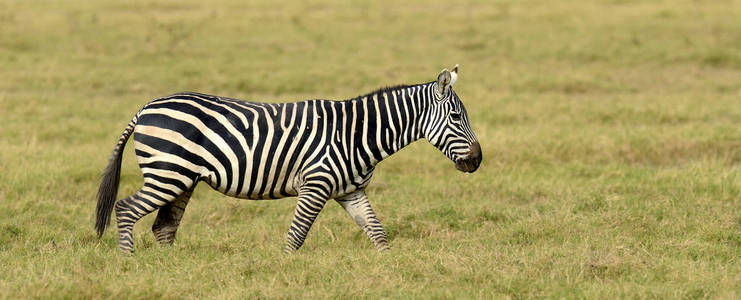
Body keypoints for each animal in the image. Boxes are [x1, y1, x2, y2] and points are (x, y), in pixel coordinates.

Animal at [95, 65, 482, 253]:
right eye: (456, 117)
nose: (478, 161)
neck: (356, 134)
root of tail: (146, 107)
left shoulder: (350, 191)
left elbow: (377, 232)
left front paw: (388, 269)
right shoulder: (315, 185)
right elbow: (296, 237)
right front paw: (286, 269)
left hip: (182, 178)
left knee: (164, 226)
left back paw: (174, 271)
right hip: (168, 173)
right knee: (126, 209)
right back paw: (129, 262)